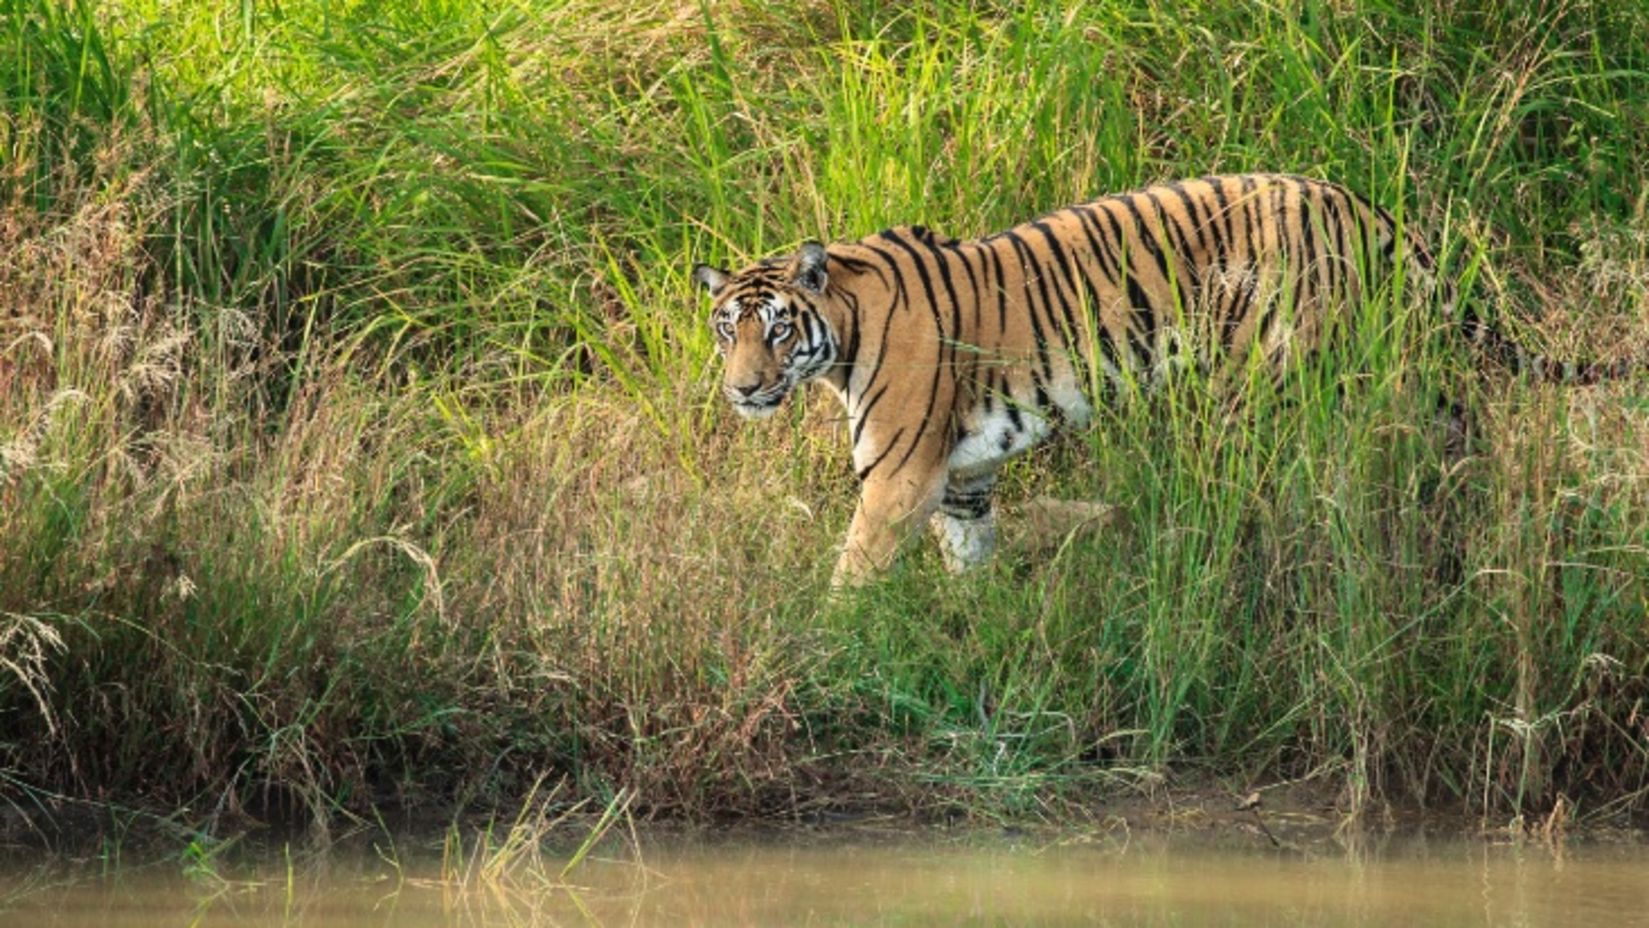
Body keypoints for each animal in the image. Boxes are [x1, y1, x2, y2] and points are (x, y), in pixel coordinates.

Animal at [692, 174, 1635, 586]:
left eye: (777, 329)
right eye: (725, 331)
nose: (742, 389)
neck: (840, 334)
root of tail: (1355, 200)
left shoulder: (898, 477)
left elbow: (850, 575)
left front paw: (829, 646)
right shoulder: (963, 477)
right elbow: (970, 560)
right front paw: (976, 627)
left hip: (1288, 374)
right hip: (1400, 359)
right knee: (1455, 432)